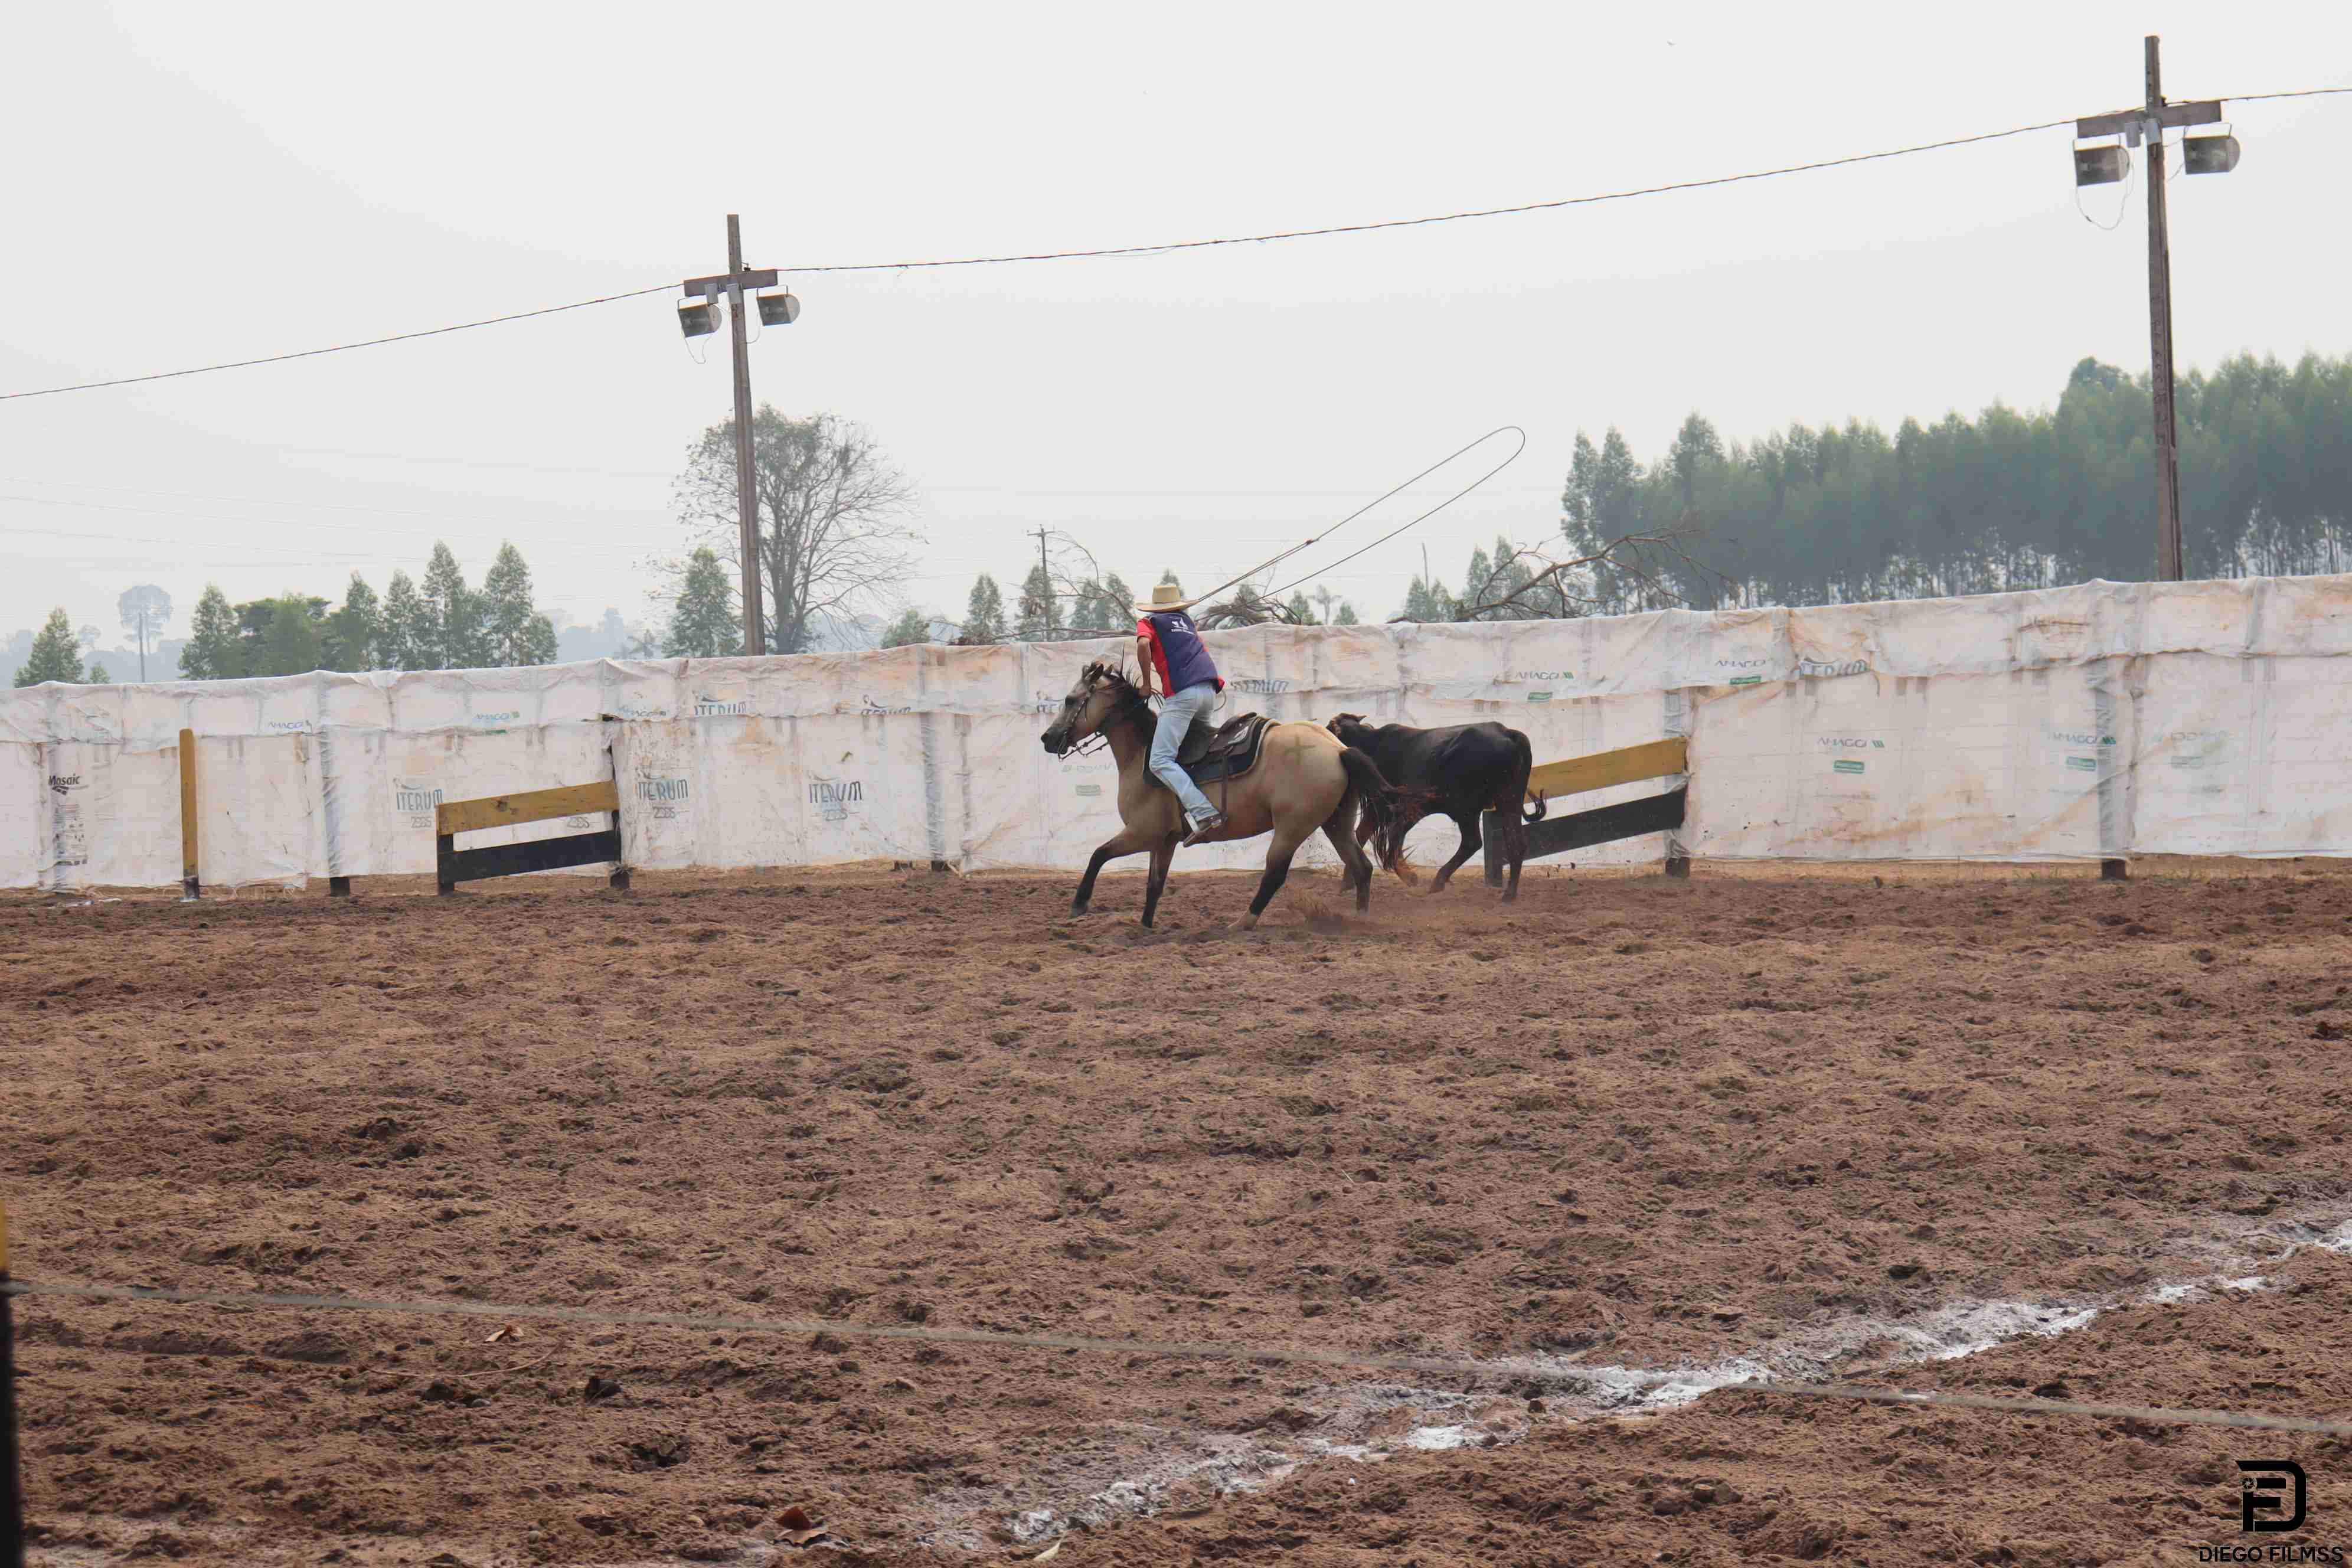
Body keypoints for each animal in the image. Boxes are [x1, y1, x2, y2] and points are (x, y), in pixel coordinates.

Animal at [1039, 662, 1401, 930]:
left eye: (1070, 700)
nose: (1048, 738)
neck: (1142, 753)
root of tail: (1338, 749)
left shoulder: (1142, 833)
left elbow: (1098, 855)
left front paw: (1079, 904)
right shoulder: (1164, 841)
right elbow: (1154, 885)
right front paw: (1144, 928)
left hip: (1292, 827)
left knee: (1274, 874)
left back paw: (1242, 923)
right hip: (1336, 822)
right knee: (1361, 867)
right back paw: (1359, 919)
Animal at [1324, 714, 1546, 901]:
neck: (1372, 744)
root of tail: (1508, 733)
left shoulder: (1393, 807)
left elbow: (1390, 839)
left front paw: (1409, 877)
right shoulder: (1381, 809)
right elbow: (1363, 836)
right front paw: (1347, 883)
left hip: (1466, 809)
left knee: (1472, 842)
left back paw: (1439, 881)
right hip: (1509, 801)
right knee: (1515, 843)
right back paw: (1509, 894)